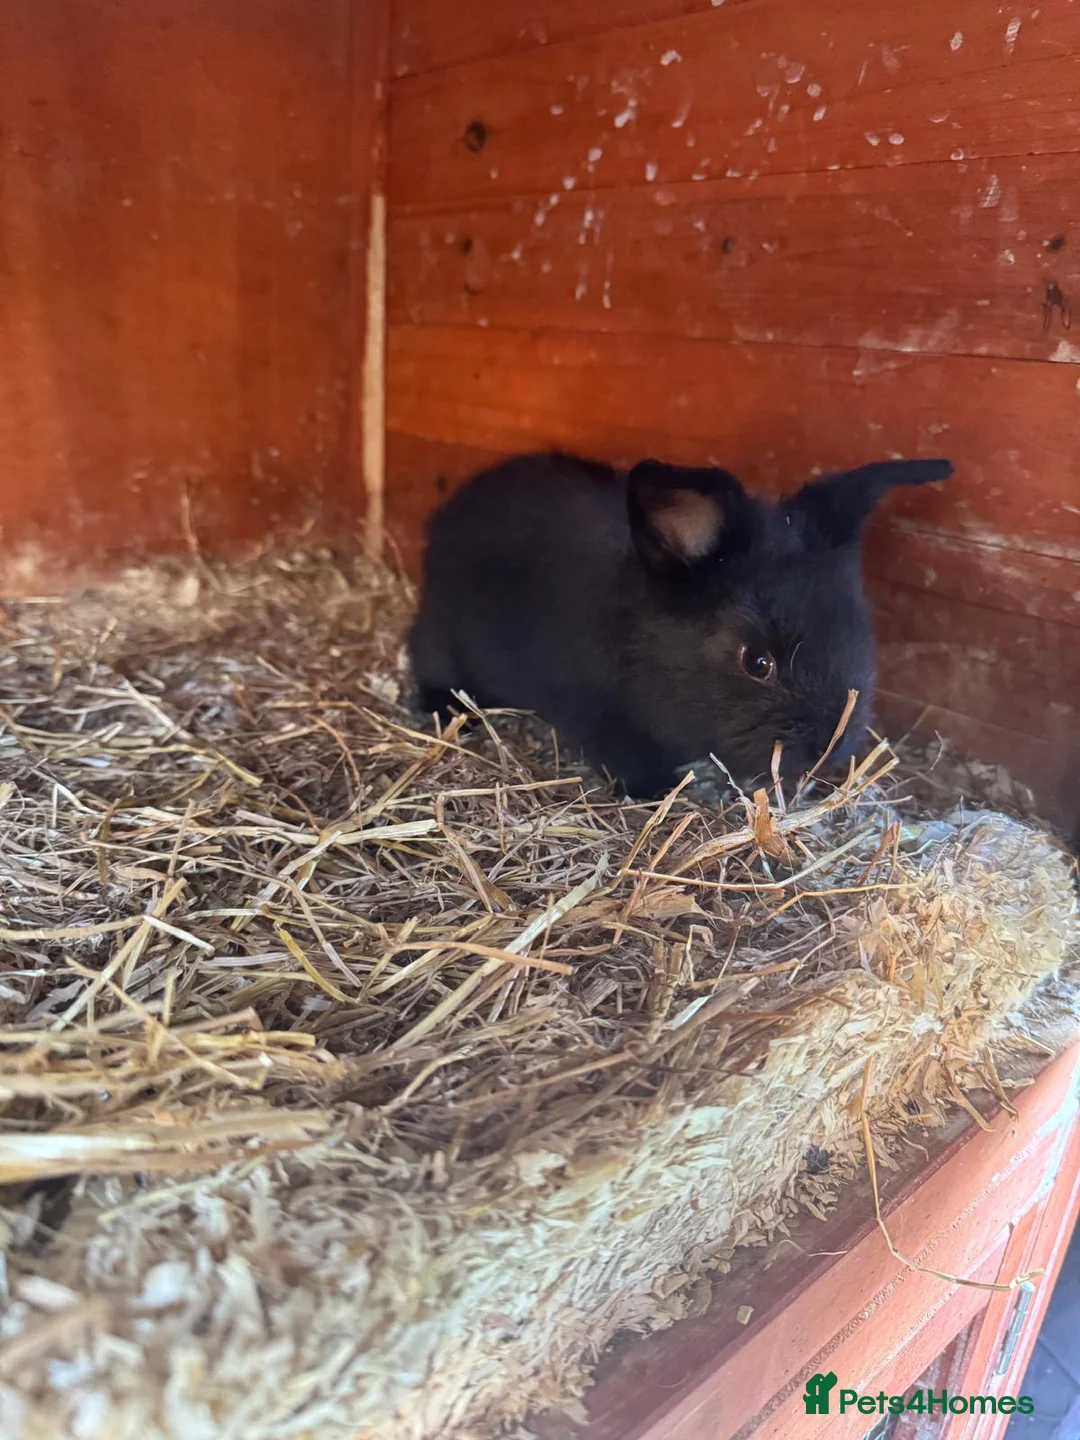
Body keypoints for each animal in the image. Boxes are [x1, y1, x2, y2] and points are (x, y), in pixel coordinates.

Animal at [408, 451, 953, 798]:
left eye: (860, 635)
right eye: (757, 662)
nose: (831, 749)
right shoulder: (601, 719)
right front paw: (660, 791)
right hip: (443, 635)